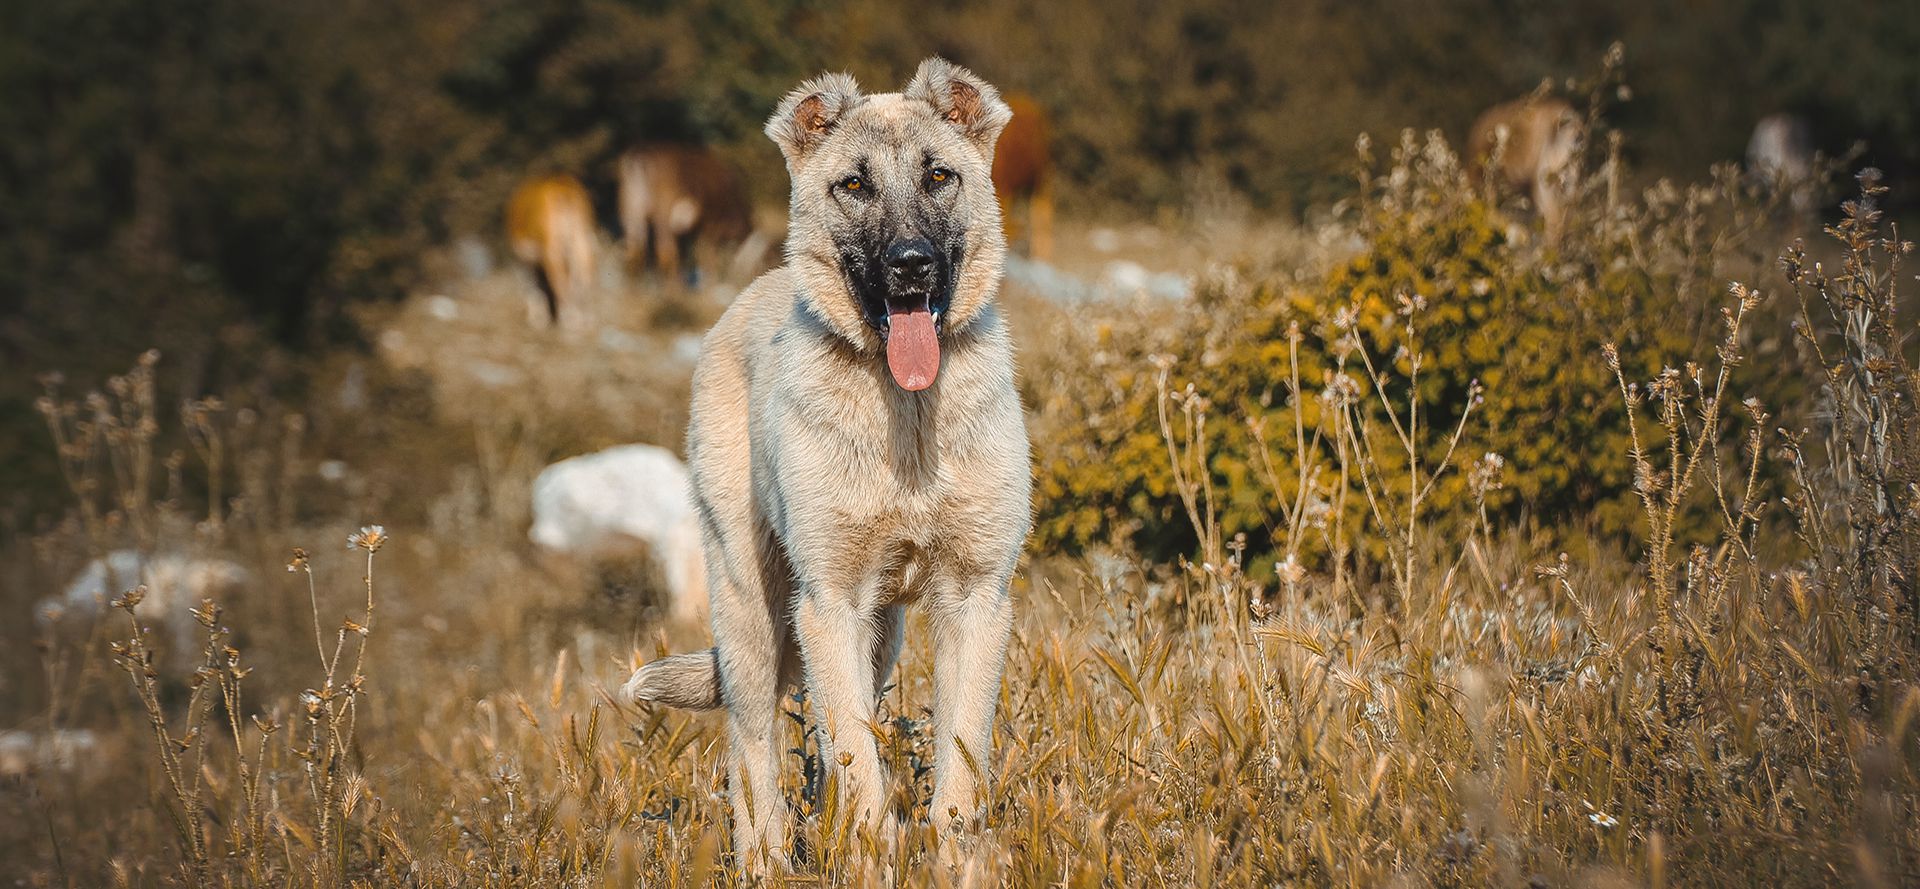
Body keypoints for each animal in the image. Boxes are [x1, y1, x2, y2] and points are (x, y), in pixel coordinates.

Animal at [506, 173, 595, 326]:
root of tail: (562, 187)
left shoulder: (521, 260)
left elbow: (532, 286)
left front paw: (537, 319)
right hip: (581, 241)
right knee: (583, 278)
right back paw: (584, 317)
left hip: (552, 250)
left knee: (560, 282)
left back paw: (569, 319)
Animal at [622, 57, 1029, 871]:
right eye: (854, 185)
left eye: (939, 176)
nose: (912, 265)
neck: (906, 417)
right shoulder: (829, 601)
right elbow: (859, 768)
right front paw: (872, 859)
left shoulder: (974, 598)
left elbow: (958, 768)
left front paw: (956, 863)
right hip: (751, 607)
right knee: (754, 748)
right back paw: (767, 862)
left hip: (879, 636)